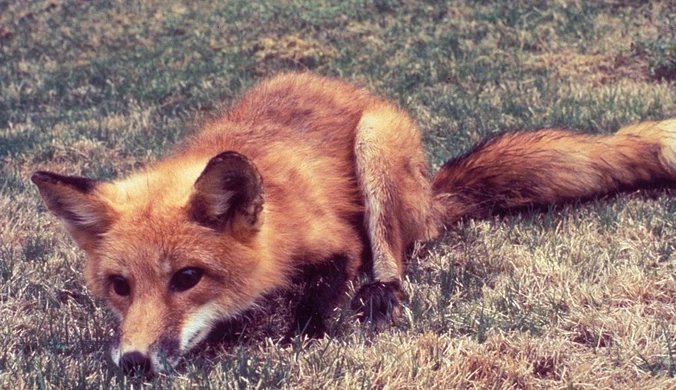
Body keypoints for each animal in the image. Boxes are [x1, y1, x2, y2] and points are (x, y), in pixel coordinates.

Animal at [31, 73, 676, 374]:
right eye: (120, 287)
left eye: (186, 278)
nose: (134, 364)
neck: (278, 220)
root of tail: (431, 194)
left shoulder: (334, 238)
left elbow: (328, 284)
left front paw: (305, 327)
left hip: (376, 146)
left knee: (392, 251)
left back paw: (382, 291)